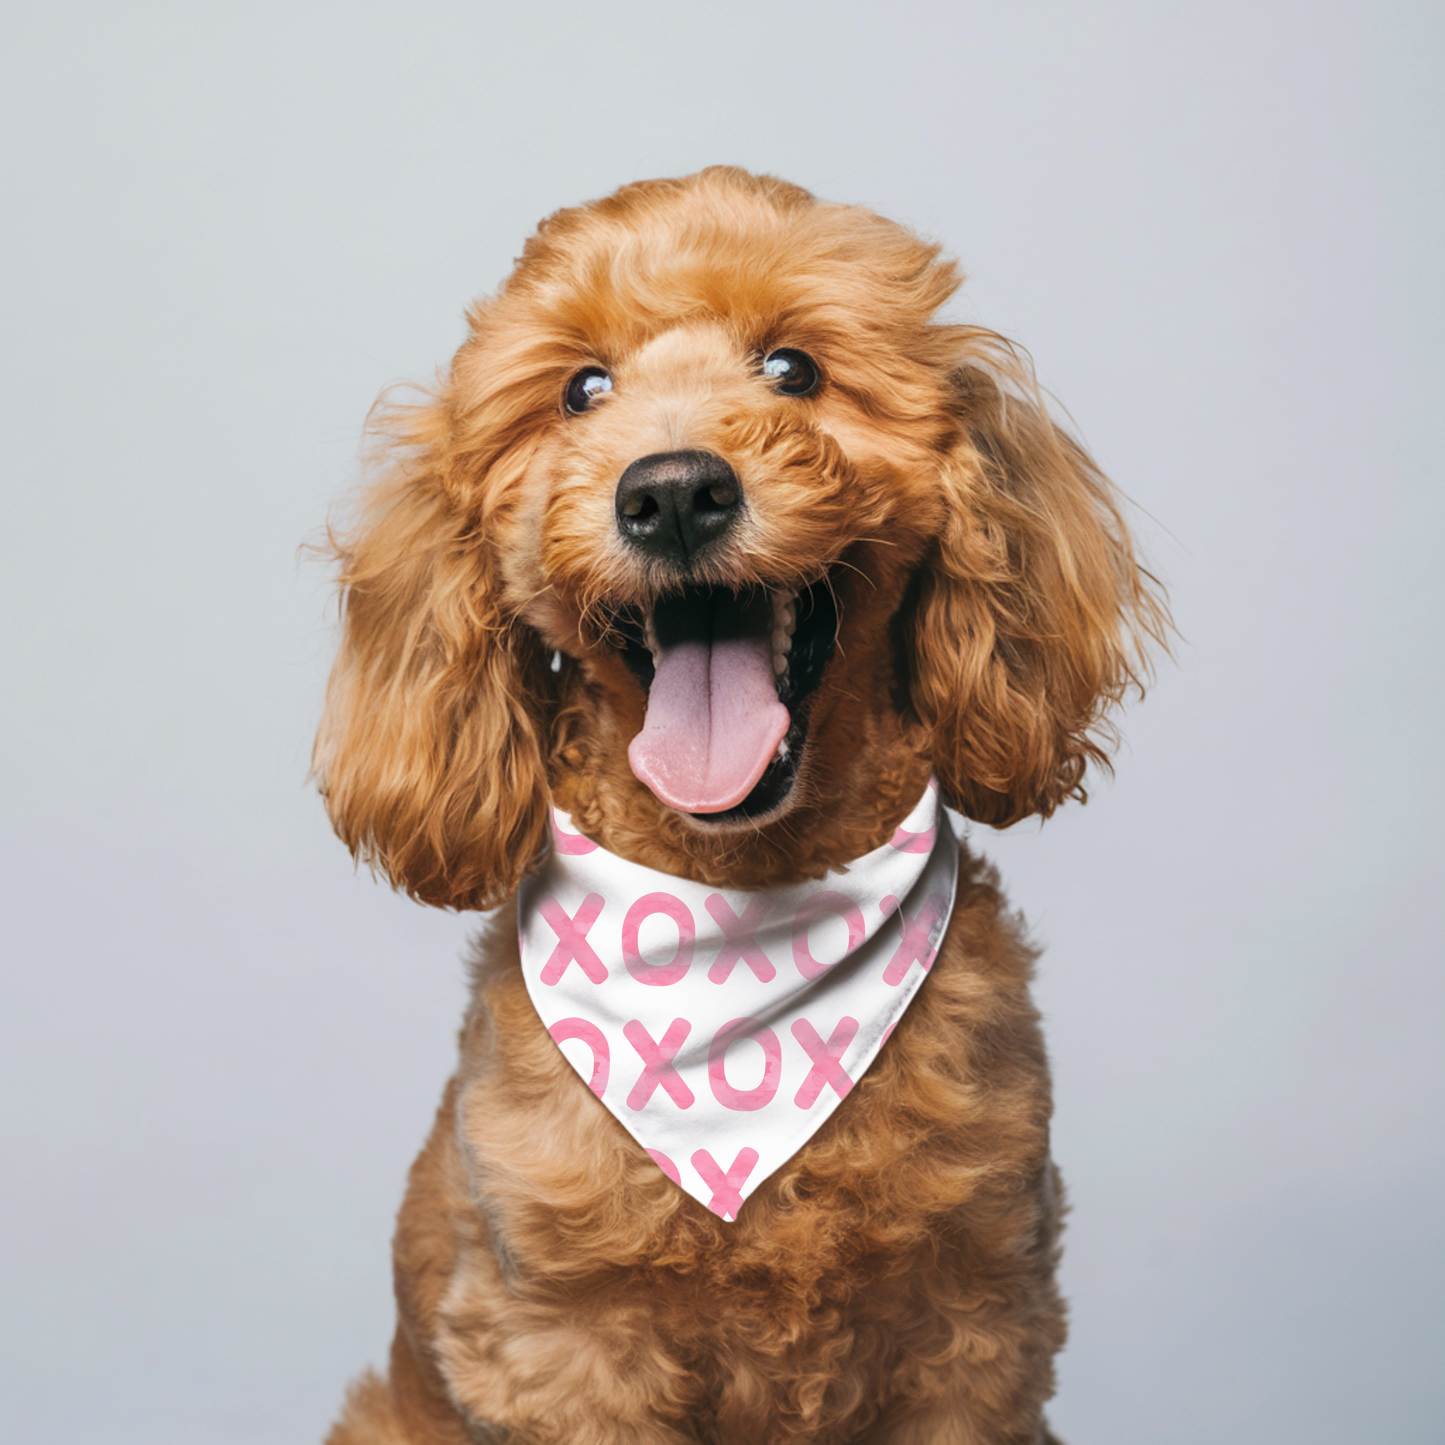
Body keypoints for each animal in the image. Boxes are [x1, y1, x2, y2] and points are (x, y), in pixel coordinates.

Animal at [316, 166, 1161, 1445]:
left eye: (793, 368)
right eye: (581, 389)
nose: (672, 491)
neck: (738, 902)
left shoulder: (975, 1329)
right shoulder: (565, 1348)